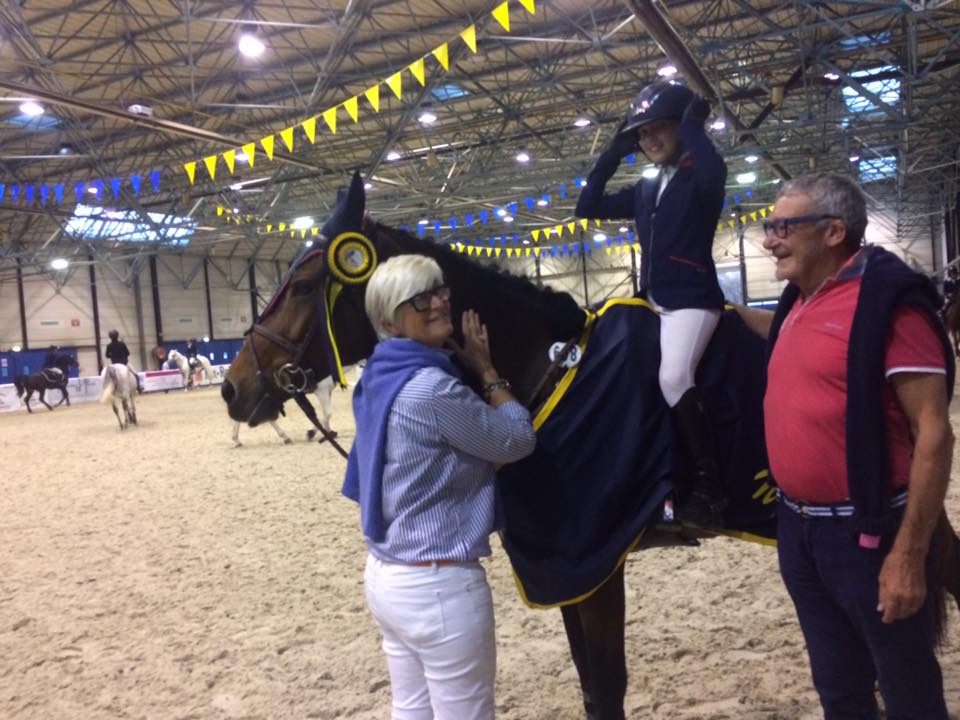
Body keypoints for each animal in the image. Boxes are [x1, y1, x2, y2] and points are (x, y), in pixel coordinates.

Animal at [219, 176, 960, 720]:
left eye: (305, 284)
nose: (233, 386)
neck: (548, 367)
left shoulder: (593, 565)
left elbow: (605, 688)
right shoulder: (576, 573)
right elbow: (592, 687)